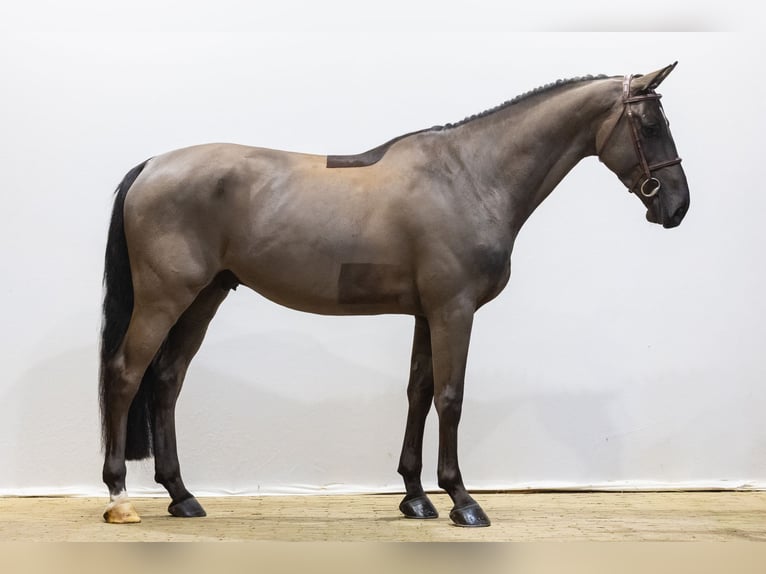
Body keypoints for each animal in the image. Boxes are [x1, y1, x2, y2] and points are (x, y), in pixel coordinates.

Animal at [99, 63, 689, 527]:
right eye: (651, 124)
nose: (677, 207)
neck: (470, 177)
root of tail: (151, 166)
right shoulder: (454, 311)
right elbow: (450, 397)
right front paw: (462, 500)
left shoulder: (428, 314)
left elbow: (419, 392)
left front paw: (415, 497)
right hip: (165, 298)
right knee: (127, 375)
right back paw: (119, 496)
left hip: (205, 297)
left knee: (167, 380)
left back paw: (182, 496)